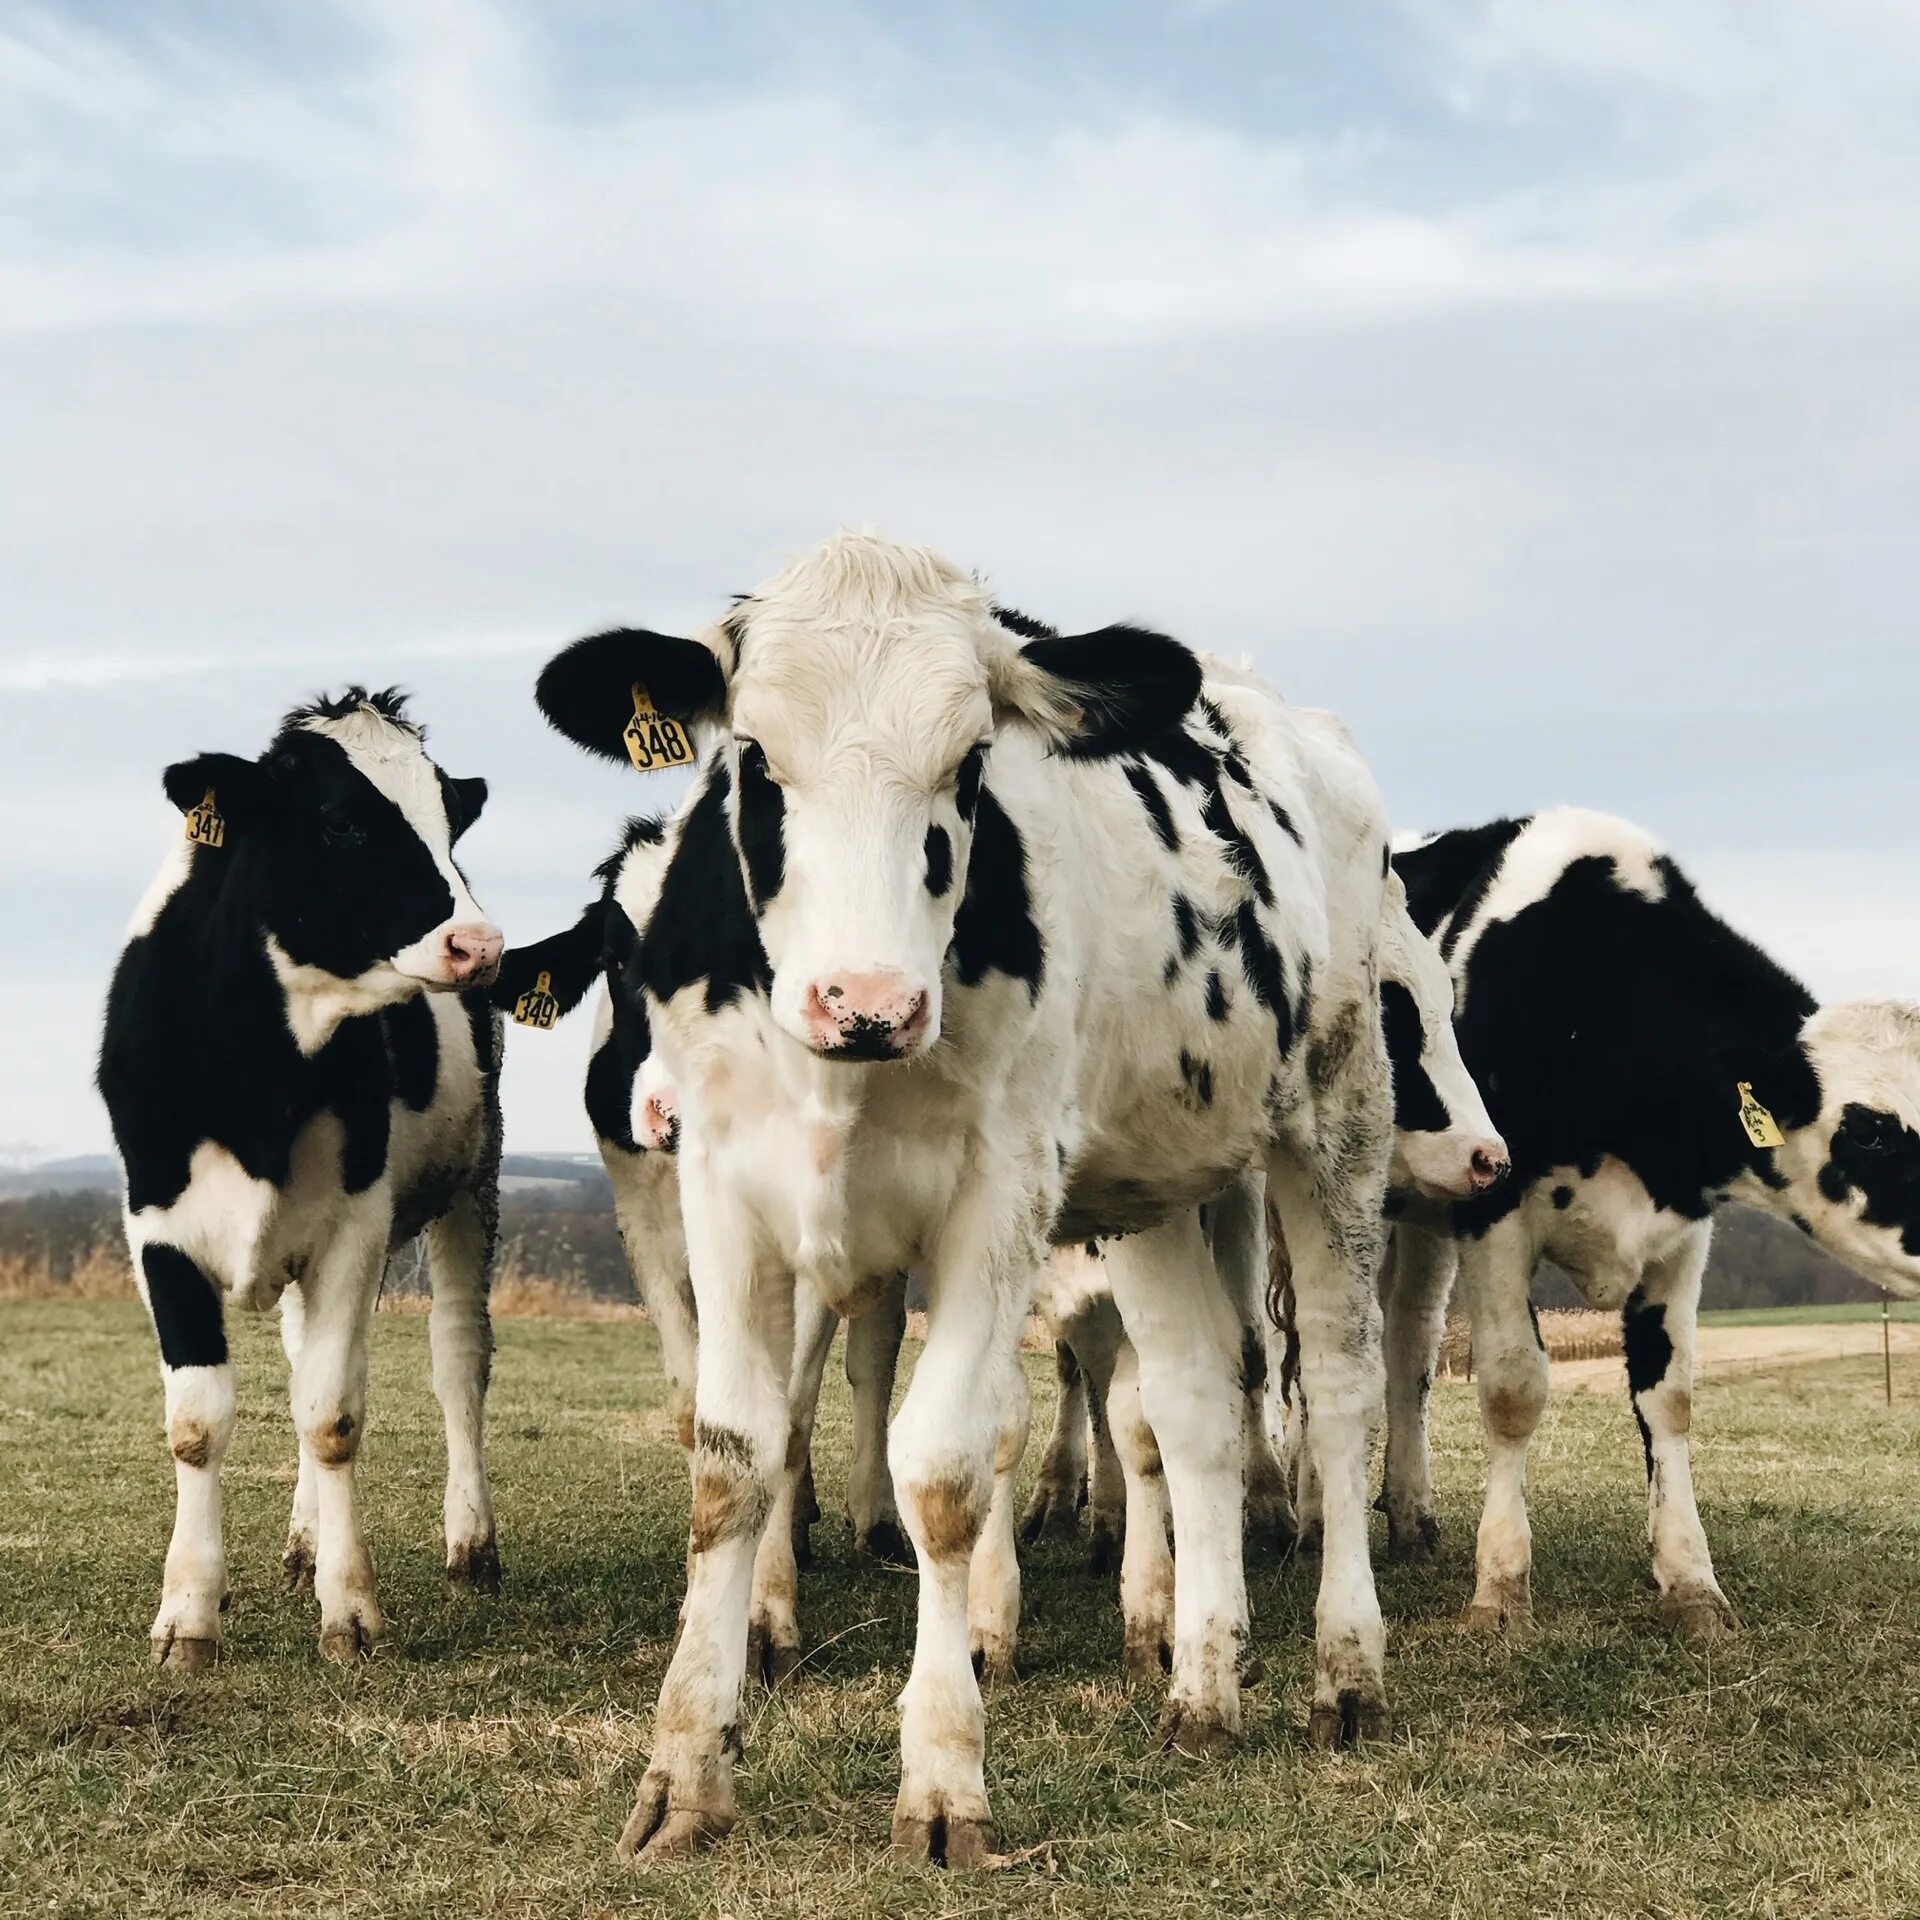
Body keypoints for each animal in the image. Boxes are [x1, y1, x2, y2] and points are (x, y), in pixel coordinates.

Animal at [98, 687, 506, 1666]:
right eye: (341, 822)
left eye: (450, 819)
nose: (479, 944)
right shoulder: (155, 1228)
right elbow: (199, 1421)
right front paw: (188, 1616)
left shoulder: (353, 1225)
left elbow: (332, 1415)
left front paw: (349, 1612)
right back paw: (303, 1541)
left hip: (472, 1184)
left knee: (458, 1359)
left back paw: (470, 1543)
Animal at [533, 533, 1405, 1866]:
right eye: (753, 756)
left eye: (971, 765)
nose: (867, 1002)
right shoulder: (723, 1187)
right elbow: (731, 1459)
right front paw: (684, 1774)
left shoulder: (999, 1199)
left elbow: (942, 1469)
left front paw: (944, 1780)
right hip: (1154, 1183)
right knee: (1197, 1406)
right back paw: (1203, 1688)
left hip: (1336, 1119)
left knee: (1344, 1386)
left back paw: (1346, 1673)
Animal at [1390, 806, 1920, 1635]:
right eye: (1868, 1131)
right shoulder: (1492, 1212)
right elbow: (1512, 1388)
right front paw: (1501, 1586)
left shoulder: (1681, 1232)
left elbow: (1668, 1398)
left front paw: (1689, 1580)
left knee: (1407, 1346)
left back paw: (1408, 1518)